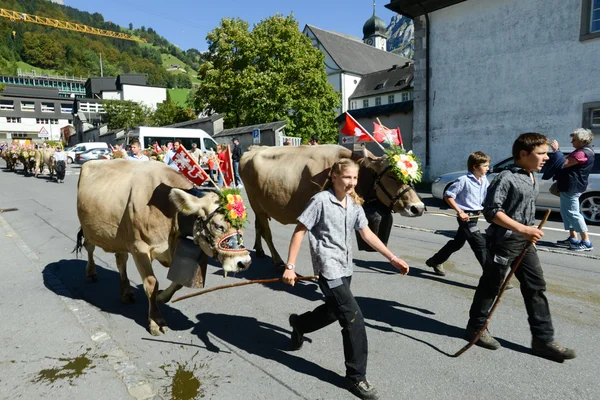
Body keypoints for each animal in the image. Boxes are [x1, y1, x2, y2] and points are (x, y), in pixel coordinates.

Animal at [76, 159, 252, 334]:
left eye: (241, 225)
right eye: (218, 226)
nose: (244, 262)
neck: (171, 213)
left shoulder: (174, 249)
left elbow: (178, 282)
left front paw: (161, 297)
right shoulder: (139, 248)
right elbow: (151, 283)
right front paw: (156, 320)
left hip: (119, 236)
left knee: (121, 260)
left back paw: (126, 292)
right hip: (88, 228)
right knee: (89, 247)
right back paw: (91, 273)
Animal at [239, 145, 426, 268]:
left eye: (411, 177)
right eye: (392, 176)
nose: (418, 207)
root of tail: (253, 149)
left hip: (260, 205)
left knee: (258, 226)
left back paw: (260, 251)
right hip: (255, 202)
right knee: (266, 231)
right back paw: (277, 260)